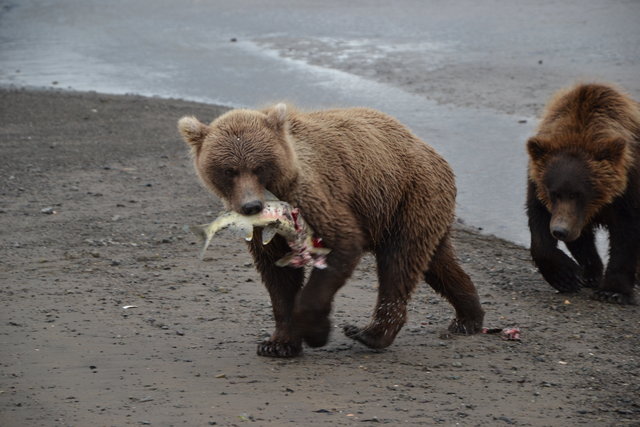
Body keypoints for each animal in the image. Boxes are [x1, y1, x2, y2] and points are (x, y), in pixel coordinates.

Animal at [178, 104, 482, 358]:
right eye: (229, 170)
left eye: (259, 166)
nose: (252, 206)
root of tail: (430, 149)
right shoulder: (267, 233)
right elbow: (277, 276)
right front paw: (278, 343)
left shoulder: (313, 196)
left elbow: (342, 244)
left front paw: (316, 332)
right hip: (418, 208)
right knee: (437, 263)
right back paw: (468, 318)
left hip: (408, 195)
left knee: (399, 261)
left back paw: (370, 333)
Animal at [524, 83, 640, 304]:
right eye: (554, 193)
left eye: (578, 193)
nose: (559, 230)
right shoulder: (537, 179)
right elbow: (539, 220)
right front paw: (567, 275)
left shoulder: (628, 189)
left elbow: (627, 234)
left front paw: (613, 291)